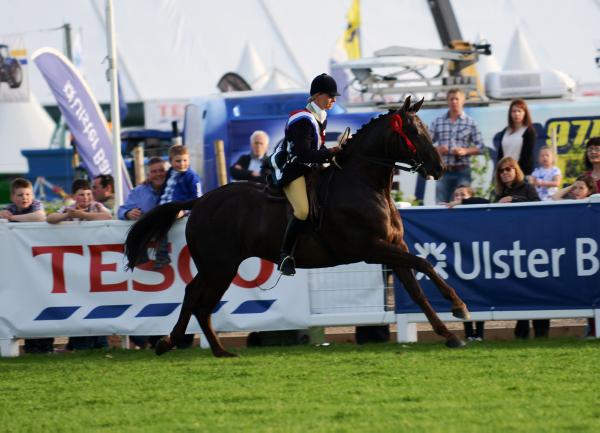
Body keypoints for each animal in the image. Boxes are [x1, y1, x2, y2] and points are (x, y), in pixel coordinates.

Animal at [124, 96, 471, 357]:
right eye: (412, 131)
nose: (440, 168)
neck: (363, 185)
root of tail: (200, 201)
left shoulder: (393, 249)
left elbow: (417, 288)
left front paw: (449, 331)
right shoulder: (373, 249)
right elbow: (424, 263)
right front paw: (459, 307)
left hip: (221, 267)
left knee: (200, 301)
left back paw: (218, 350)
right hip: (219, 265)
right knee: (195, 297)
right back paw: (171, 342)